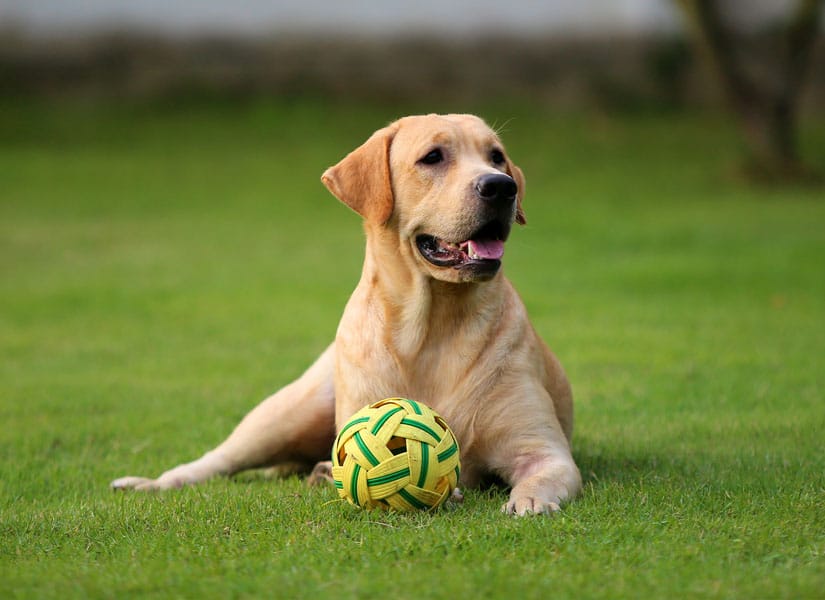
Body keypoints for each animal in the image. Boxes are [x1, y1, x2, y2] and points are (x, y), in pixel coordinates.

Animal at [112, 113, 584, 516]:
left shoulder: (544, 451)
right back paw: (152, 482)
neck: (432, 326)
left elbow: (540, 475)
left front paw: (528, 502)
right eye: (433, 157)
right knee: (216, 460)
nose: (502, 187)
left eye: (497, 156)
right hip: (285, 414)